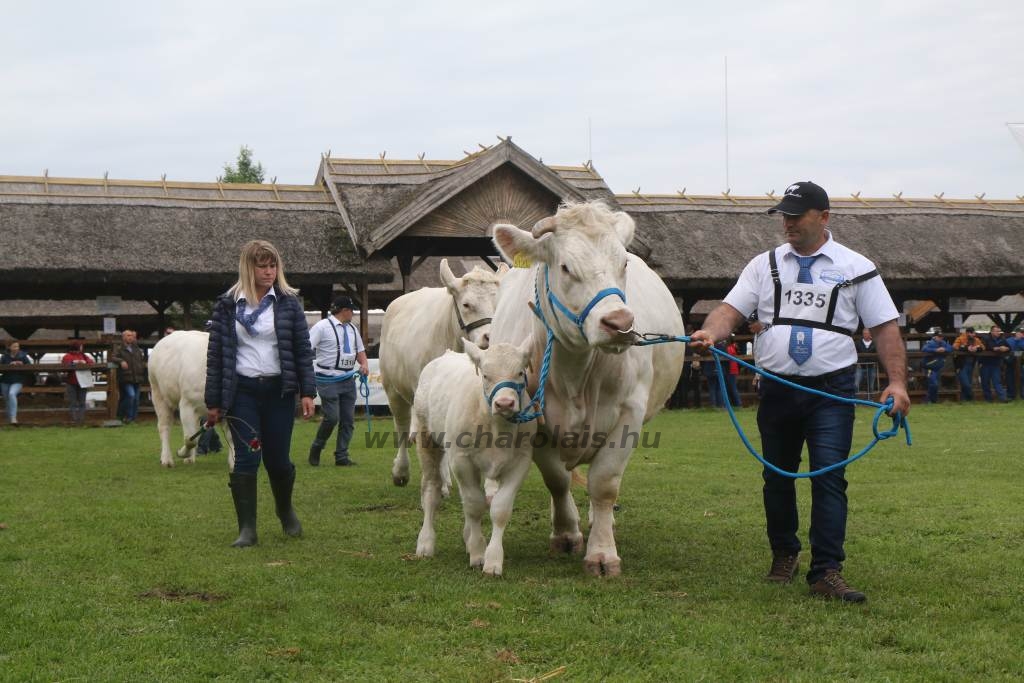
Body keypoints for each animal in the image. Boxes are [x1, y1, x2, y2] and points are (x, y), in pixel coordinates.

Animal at [148, 331, 235, 471]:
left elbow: (231, 437)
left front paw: (234, 462)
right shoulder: (187, 404)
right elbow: (190, 439)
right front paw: (182, 452)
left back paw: (189, 458)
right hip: (158, 394)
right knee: (164, 426)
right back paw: (167, 459)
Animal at [411, 337, 536, 577]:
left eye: (520, 372)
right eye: (486, 375)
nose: (504, 404)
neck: (497, 427)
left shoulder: (521, 461)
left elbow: (499, 508)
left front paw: (493, 558)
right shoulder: (461, 459)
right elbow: (474, 505)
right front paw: (478, 553)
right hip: (426, 438)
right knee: (431, 491)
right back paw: (425, 542)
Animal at [489, 198, 684, 577]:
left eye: (624, 262)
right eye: (566, 267)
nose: (620, 323)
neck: (574, 375)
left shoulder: (629, 413)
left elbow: (604, 483)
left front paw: (602, 552)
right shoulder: (533, 417)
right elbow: (557, 480)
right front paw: (565, 532)